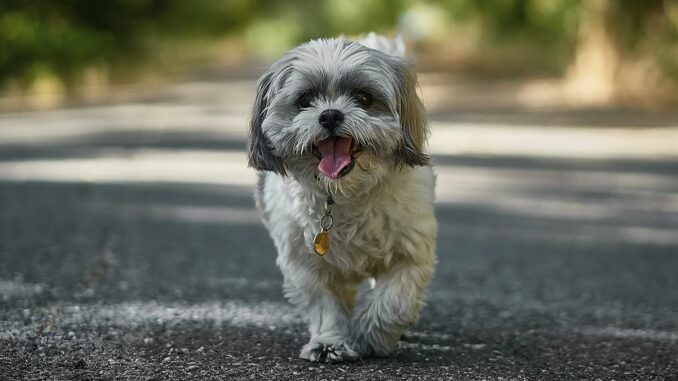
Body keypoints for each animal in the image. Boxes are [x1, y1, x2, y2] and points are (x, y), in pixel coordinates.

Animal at [247, 33, 438, 362]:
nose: (330, 114)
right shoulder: (306, 263)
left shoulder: (410, 252)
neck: (343, 195)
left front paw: (371, 336)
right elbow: (325, 305)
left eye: (363, 97)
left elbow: (394, 300)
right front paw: (329, 342)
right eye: (305, 99)